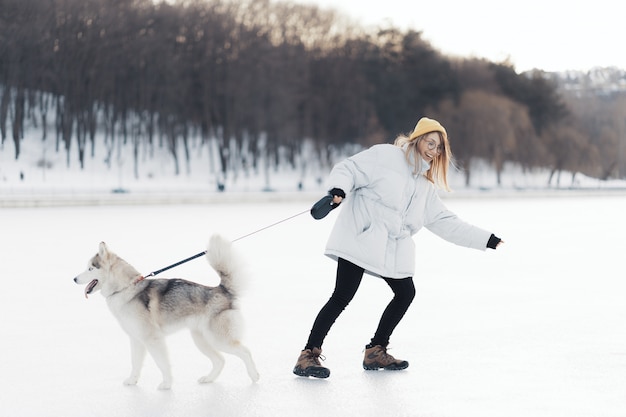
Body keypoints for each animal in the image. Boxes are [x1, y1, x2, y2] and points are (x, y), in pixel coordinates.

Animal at [73, 232, 258, 388]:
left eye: (90, 268)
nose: (74, 279)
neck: (126, 288)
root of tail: (222, 290)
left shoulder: (152, 339)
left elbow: (162, 363)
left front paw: (167, 384)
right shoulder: (136, 339)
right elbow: (135, 363)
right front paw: (132, 381)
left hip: (218, 339)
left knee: (246, 351)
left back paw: (254, 375)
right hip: (201, 340)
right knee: (220, 360)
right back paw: (208, 379)